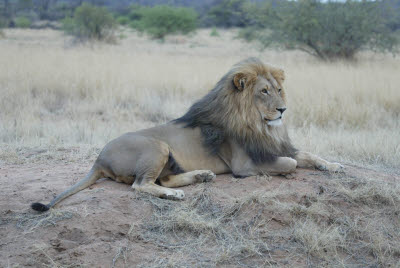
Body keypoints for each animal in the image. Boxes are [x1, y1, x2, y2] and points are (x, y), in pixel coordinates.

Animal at [31, 57, 344, 213]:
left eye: (278, 89)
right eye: (263, 92)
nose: (282, 109)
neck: (259, 123)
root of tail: (98, 158)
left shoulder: (274, 145)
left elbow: (308, 155)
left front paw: (334, 165)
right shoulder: (245, 164)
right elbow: (291, 163)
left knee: (163, 178)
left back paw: (202, 176)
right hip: (157, 146)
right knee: (142, 185)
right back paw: (175, 193)